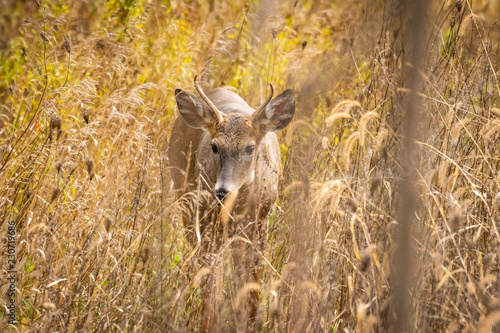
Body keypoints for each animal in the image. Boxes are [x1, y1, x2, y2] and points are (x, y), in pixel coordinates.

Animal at [169, 76, 292, 330]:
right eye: (215, 146)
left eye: (250, 147)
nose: (222, 191)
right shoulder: (209, 226)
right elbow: (211, 290)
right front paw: (207, 325)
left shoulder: (261, 224)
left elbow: (253, 289)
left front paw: (250, 324)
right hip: (188, 207)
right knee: (192, 264)